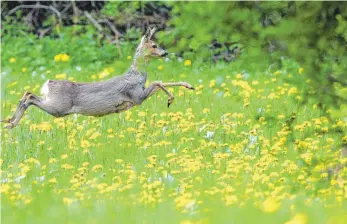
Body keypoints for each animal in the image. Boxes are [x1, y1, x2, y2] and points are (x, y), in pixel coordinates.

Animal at [0, 27, 196, 130]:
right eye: (154, 45)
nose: (165, 53)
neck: (136, 75)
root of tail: (49, 83)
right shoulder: (136, 97)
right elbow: (158, 81)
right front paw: (175, 96)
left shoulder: (137, 98)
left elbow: (158, 82)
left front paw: (187, 86)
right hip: (59, 107)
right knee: (30, 97)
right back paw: (11, 123)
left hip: (54, 103)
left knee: (27, 94)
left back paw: (8, 122)